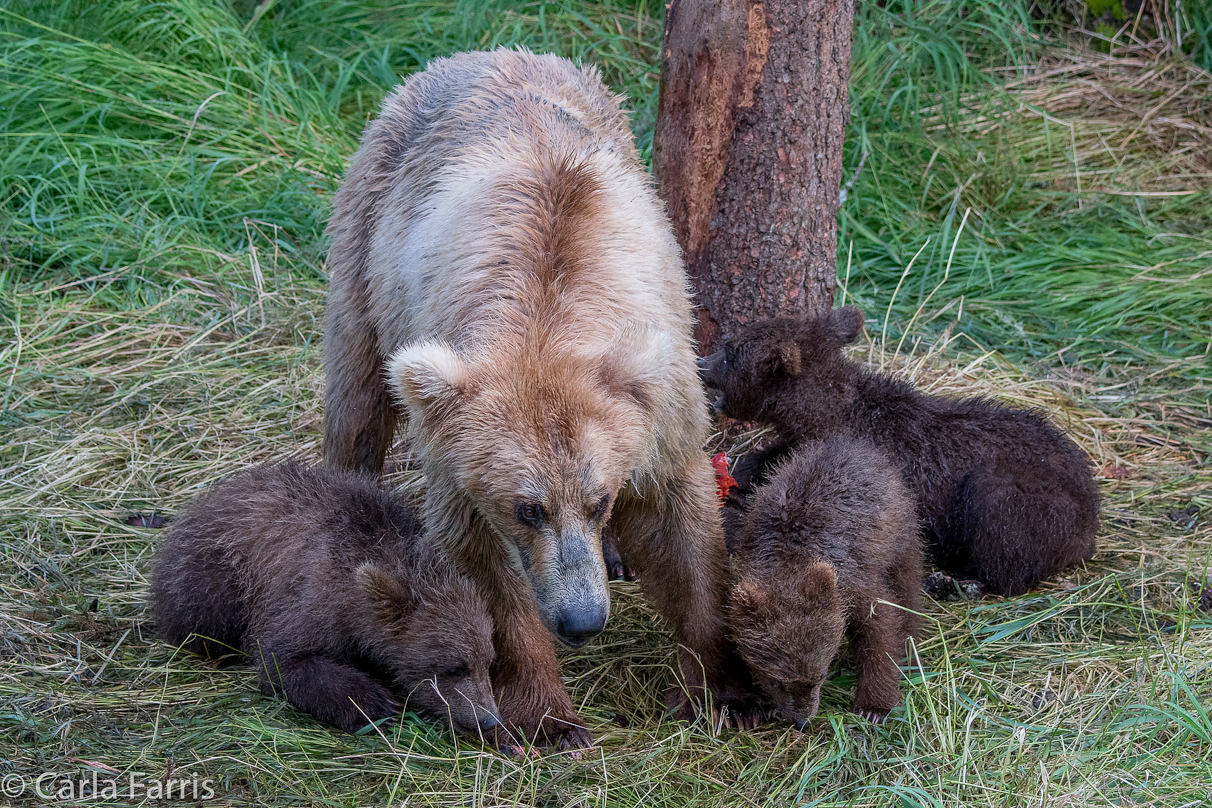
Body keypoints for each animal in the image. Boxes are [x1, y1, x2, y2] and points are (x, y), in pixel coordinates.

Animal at [322, 49, 756, 746]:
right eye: (528, 509)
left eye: (599, 497)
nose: (582, 621)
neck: (546, 315)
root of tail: (483, 52)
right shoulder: (460, 450)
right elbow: (485, 567)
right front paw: (551, 719)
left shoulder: (662, 398)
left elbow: (682, 529)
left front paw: (723, 687)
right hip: (366, 240)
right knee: (357, 391)